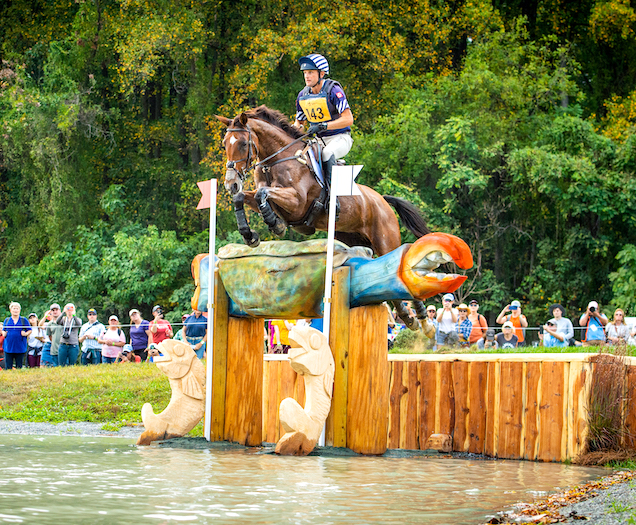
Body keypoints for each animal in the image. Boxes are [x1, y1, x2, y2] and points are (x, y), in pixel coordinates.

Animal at [216, 105, 430, 328]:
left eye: (243, 143)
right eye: (224, 144)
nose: (231, 183)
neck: (276, 161)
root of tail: (382, 200)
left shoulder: (297, 202)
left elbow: (262, 194)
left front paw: (275, 224)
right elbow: (244, 197)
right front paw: (250, 235)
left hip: (385, 239)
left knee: (399, 264)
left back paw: (421, 318)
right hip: (354, 239)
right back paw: (407, 317)